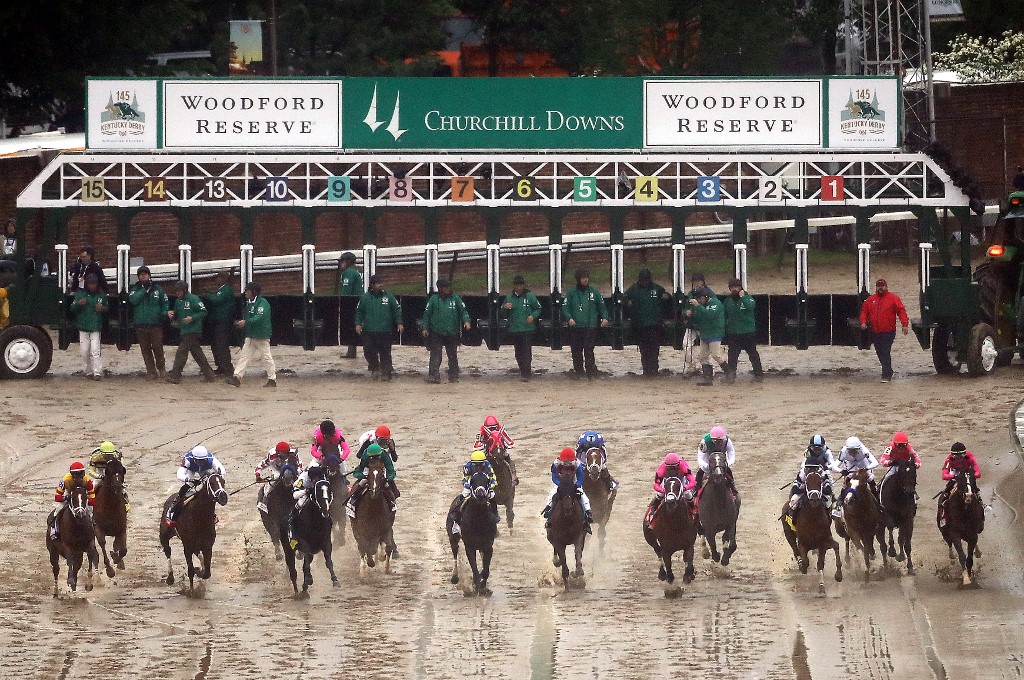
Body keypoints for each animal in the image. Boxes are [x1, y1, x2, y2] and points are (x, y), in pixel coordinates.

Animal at [778, 464, 843, 593]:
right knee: (795, 550)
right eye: (807, 482)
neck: (812, 519)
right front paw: (802, 566)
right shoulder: (803, 543)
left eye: (820, 482)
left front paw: (834, 578)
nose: (814, 498)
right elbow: (805, 561)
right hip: (788, 533)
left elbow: (826, 557)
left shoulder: (823, 542)